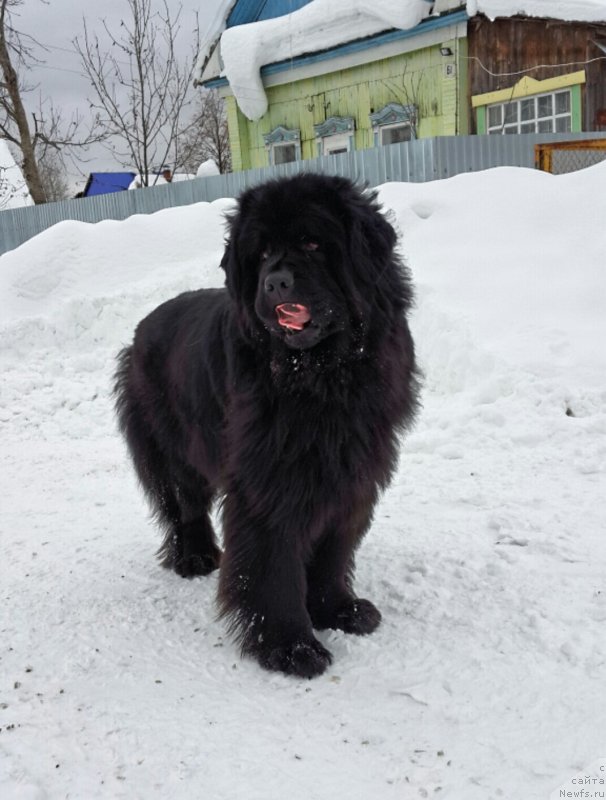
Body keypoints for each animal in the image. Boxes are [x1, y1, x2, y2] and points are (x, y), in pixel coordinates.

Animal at [114, 172, 420, 680]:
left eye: (313, 242)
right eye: (259, 254)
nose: (276, 281)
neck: (323, 377)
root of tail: (141, 329)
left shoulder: (352, 470)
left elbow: (333, 550)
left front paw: (338, 609)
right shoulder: (268, 481)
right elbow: (273, 563)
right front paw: (290, 646)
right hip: (171, 447)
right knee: (184, 502)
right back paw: (195, 556)